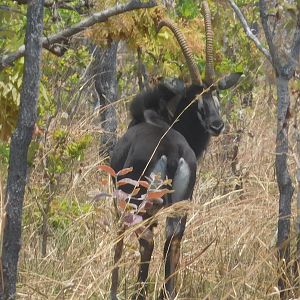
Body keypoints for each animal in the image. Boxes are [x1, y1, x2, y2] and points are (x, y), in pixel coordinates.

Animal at [109, 2, 243, 300]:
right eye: (198, 97)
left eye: (215, 94)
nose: (217, 124)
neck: (156, 115)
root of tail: (171, 152)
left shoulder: (117, 201)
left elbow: (118, 244)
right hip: (180, 204)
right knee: (174, 239)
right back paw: (166, 292)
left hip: (141, 201)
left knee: (147, 240)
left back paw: (140, 291)